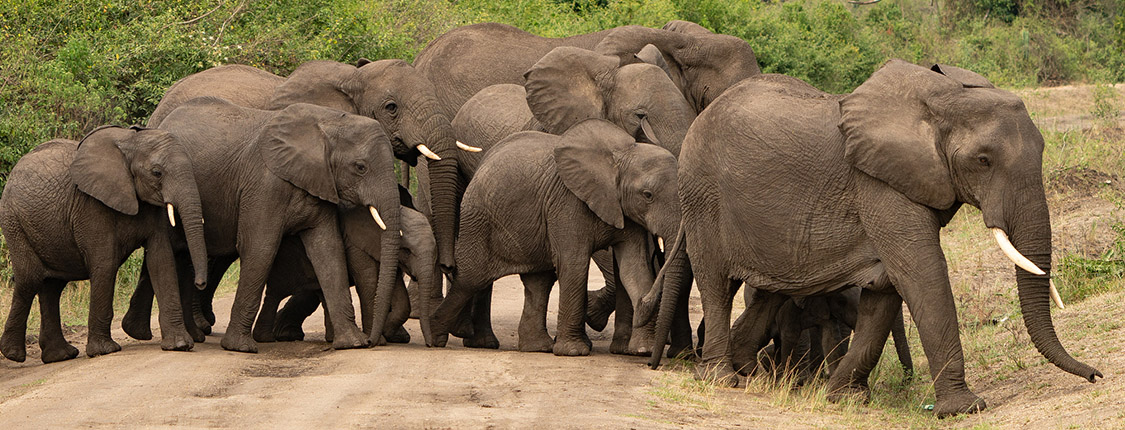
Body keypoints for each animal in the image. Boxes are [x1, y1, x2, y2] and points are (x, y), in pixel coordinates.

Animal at [0, 124, 209, 362]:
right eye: (157, 172)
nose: (200, 283)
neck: (130, 143)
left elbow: (161, 260)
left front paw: (180, 345)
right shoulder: (91, 205)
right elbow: (106, 263)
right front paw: (104, 351)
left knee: (52, 286)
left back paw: (60, 356)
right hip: (14, 221)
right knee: (29, 279)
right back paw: (13, 354)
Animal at [140, 97, 405, 353]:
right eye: (360, 167)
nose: (372, 342)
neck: (327, 124)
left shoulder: (319, 182)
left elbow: (328, 250)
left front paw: (352, 343)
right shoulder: (264, 184)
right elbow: (260, 248)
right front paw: (240, 348)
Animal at [255, 204, 438, 346]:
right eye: (406, 250)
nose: (430, 345)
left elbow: (398, 294)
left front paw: (385, 332)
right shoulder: (355, 244)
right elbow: (369, 280)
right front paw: (378, 339)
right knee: (277, 290)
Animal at [429, 118, 675, 355]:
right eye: (647, 195)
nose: (642, 306)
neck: (621, 156)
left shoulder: (627, 212)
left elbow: (633, 267)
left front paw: (643, 350)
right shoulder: (567, 203)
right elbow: (574, 264)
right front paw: (573, 352)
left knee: (538, 282)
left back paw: (537, 347)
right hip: (478, 219)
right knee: (471, 278)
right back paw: (437, 336)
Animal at [643, 60, 1098, 416]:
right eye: (983, 161)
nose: (1095, 375)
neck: (940, 98)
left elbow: (885, 288)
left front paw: (843, 398)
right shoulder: (878, 185)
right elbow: (920, 272)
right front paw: (964, 409)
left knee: (770, 292)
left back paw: (751, 372)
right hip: (702, 195)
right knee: (717, 284)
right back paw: (722, 379)